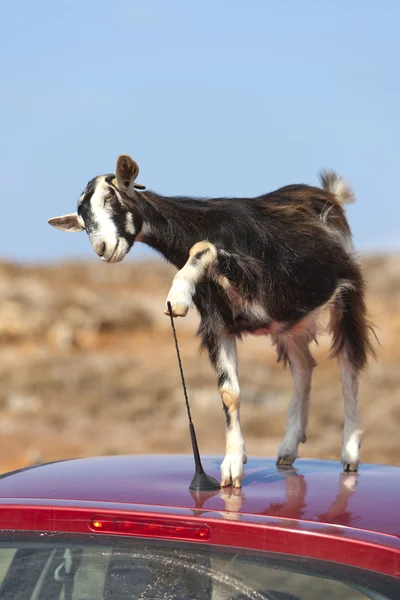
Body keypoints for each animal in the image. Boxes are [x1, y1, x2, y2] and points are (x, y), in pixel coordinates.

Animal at [47, 155, 376, 488]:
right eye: (82, 219)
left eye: (109, 197)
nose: (102, 249)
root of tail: (329, 196)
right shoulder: (218, 325)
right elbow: (229, 393)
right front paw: (233, 462)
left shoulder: (253, 274)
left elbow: (204, 246)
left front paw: (177, 295)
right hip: (288, 321)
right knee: (304, 366)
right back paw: (288, 446)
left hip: (346, 295)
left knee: (348, 366)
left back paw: (350, 452)